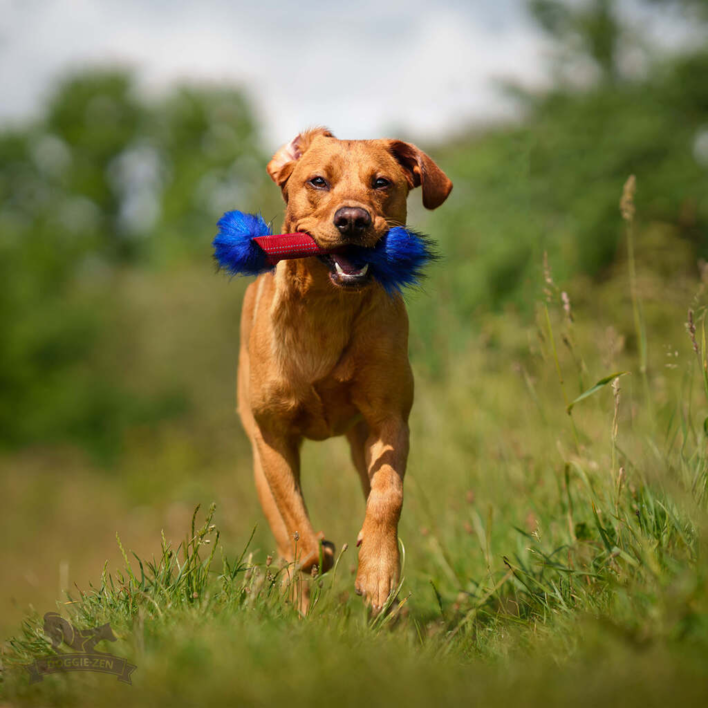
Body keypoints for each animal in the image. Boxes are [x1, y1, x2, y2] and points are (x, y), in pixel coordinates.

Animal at [235, 129, 450, 612]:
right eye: (318, 181)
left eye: (382, 183)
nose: (353, 219)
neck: (326, 308)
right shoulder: (274, 438)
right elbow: (297, 529)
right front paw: (320, 551)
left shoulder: (389, 418)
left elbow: (387, 495)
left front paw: (377, 572)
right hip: (256, 456)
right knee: (284, 536)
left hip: (357, 440)